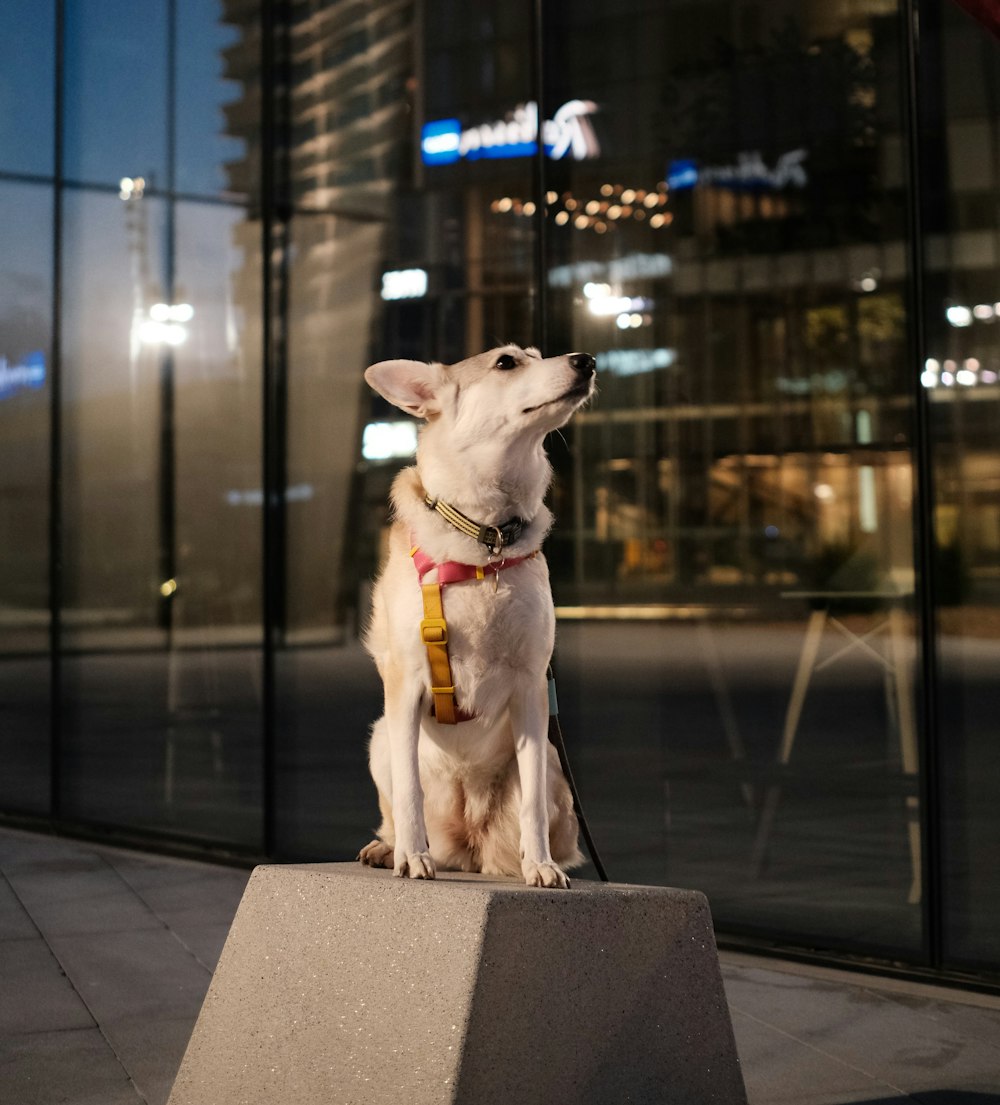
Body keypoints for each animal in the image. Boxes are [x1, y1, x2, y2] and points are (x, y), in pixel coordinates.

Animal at [358, 344, 592, 888]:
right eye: (507, 362)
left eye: (537, 354)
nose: (587, 361)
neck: (486, 538)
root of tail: (466, 843)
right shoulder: (405, 686)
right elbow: (409, 792)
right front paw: (410, 857)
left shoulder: (531, 686)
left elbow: (531, 802)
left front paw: (541, 865)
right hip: (380, 737)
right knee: (399, 811)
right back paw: (391, 847)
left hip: (554, 763)